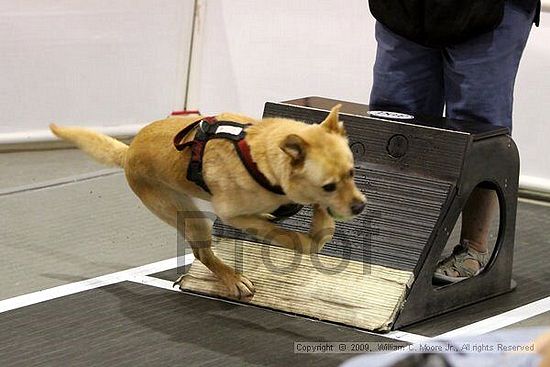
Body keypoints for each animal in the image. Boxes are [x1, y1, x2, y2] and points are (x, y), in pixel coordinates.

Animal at [48, 105, 366, 300]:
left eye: (352, 172)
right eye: (329, 185)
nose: (360, 206)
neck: (257, 155)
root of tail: (128, 153)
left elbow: (317, 219)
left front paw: (321, 222)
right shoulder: (233, 215)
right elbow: (286, 236)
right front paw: (306, 238)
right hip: (189, 216)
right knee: (202, 253)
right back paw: (233, 279)